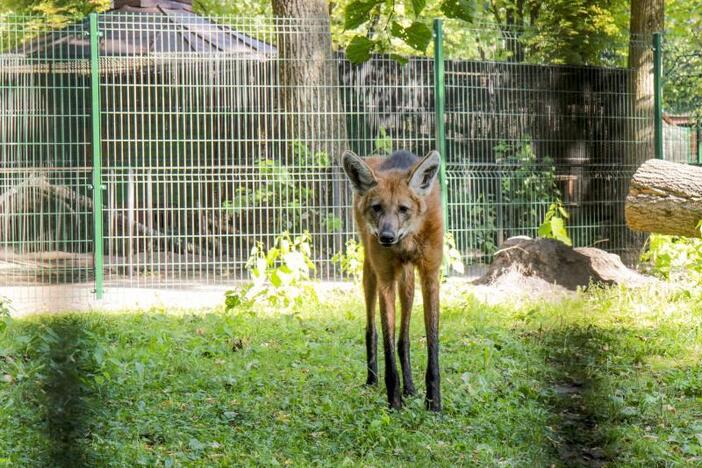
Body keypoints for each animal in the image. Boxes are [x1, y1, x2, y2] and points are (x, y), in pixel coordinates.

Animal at [342, 149, 446, 410]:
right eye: (377, 208)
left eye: (403, 209)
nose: (386, 237)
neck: (407, 240)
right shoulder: (386, 279)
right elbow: (387, 343)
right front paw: (394, 403)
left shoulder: (430, 276)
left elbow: (432, 343)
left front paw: (434, 404)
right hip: (370, 273)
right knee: (372, 329)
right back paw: (372, 380)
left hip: (407, 282)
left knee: (404, 338)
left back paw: (410, 387)